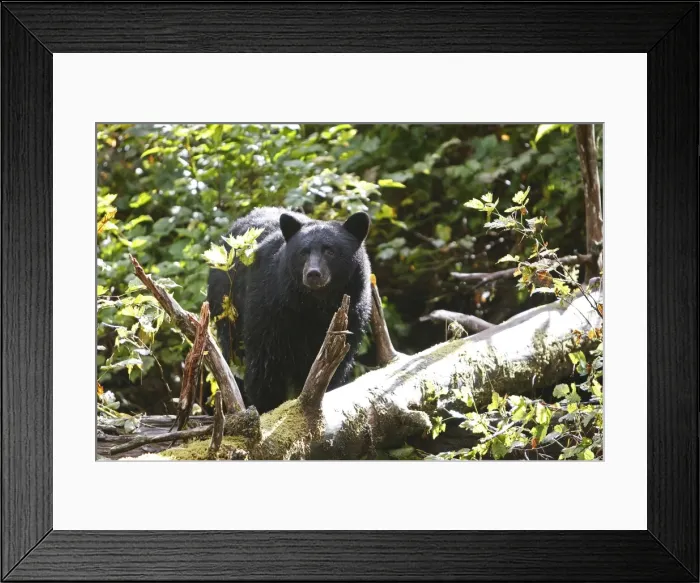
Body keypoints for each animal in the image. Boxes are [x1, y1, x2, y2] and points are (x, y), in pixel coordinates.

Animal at [207, 206, 372, 413]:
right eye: (303, 252)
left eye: (330, 251)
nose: (313, 274)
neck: (314, 304)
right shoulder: (271, 305)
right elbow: (265, 362)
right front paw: (267, 407)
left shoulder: (352, 310)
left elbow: (336, 364)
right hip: (226, 304)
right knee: (234, 354)